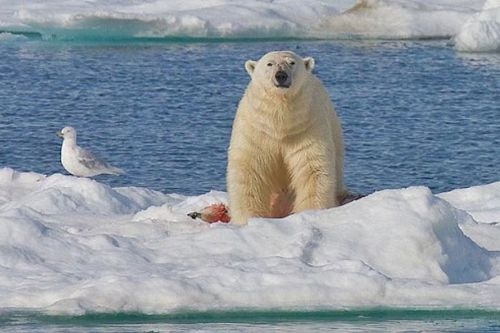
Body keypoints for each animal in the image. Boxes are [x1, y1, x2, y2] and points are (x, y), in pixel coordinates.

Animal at [229, 49, 346, 224]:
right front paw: (249, 218)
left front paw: (310, 211)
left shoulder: (307, 127)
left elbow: (312, 169)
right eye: (269, 63)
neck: (280, 123)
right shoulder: (255, 130)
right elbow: (249, 170)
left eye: (291, 62)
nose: (281, 75)